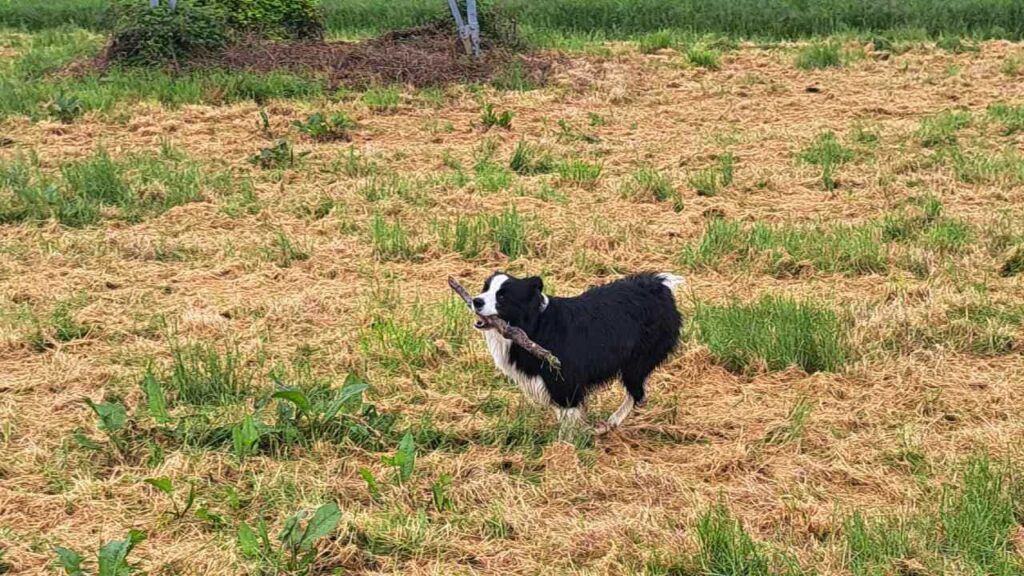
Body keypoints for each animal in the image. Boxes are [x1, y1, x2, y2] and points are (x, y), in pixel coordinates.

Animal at [473, 270, 684, 432]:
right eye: (485, 288)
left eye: (502, 296)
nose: (476, 301)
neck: (536, 325)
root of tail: (659, 284)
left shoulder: (565, 383)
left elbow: (568, 419)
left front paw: (565, 449)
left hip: (635, 364)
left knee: (637, 393)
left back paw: (612, 422)